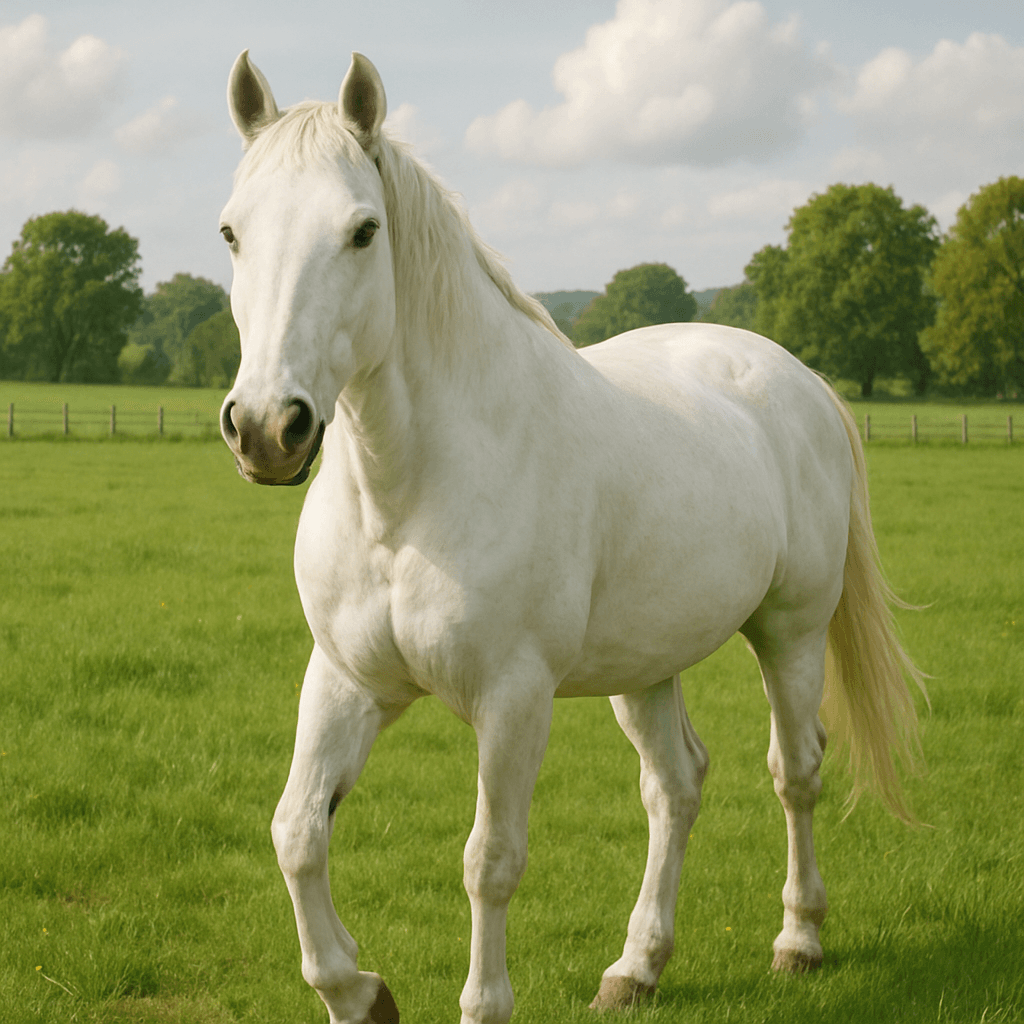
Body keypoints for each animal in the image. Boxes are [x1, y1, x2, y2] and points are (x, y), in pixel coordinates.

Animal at [217, 50, 926, 1024]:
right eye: (232, 233)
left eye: (363, 231)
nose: (265, 428)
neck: (410, 497)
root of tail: (797, 378)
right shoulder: (347, 680)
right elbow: (297, 832)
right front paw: (355, 991)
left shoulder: (514, 700)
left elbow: (490, 860)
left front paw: (481, 1002)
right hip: (648, 664)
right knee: (676, 787)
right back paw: (637, 966)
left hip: (791, 633)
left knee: (796, 771)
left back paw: (799, 939)